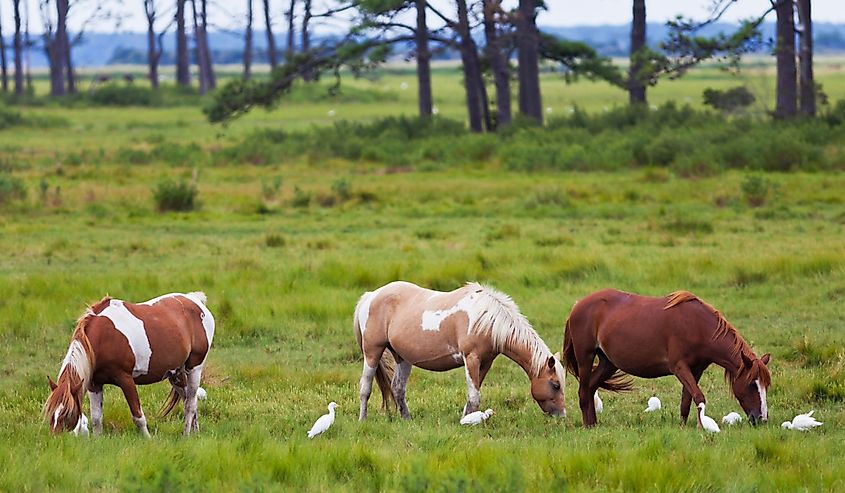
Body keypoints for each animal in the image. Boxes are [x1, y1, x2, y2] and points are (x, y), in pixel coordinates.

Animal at [43, 292, 216, 434]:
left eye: (68, 414)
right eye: (52, 414)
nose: (56, 439)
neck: (103, 337)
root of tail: (196, 300)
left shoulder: (126, 380)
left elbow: (138, 417)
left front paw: (148, 440)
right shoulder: (94, 384)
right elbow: (97, 419)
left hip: (194, 369)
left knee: (190, 404)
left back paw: (186, 435)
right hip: (176, 375)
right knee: (189, 400)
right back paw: (195, 434)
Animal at [352, 280, 564, 418]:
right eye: (555, 385)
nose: (562, 415)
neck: (486, 319)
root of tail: (370, 296)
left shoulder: (485, 362)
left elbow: (473, 395)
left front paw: (467, 418)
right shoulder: (471, 358)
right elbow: (474, 396)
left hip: (402, 358)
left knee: (397, 388)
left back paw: (406, 419)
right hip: (372, 352)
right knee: (365, 388)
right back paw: (363, 420)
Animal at [560, 288, 772, 426]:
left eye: (765, 386)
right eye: (751, 384)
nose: (761, 418)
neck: (697, 325)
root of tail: (577, 306)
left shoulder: (696, 370)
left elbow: (687, 400)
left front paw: (684, 426)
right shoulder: (679, 367)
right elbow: (698, 395)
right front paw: (701, 425)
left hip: (608, 363)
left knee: (590, 388)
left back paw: (594, 423)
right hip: (585, 358)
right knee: (583, 392)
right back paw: (587, 425)